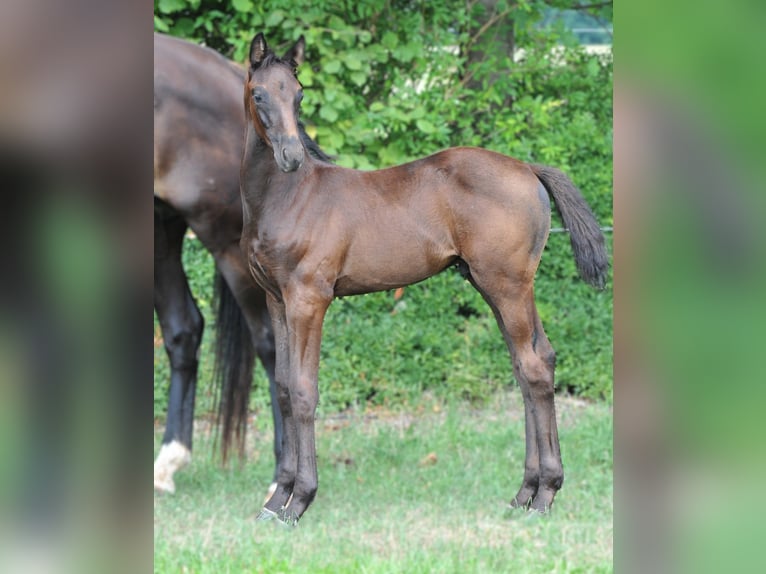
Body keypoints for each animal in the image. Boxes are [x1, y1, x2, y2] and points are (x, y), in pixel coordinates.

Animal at [153, 33, 330, 498]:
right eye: (261, 96)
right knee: (183, 328)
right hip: (163, 226)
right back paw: (167, 460)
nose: (291, 156)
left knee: (267, 344)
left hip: (227, 248)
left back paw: (280, 475)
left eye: (300, 96)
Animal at [242, 32, 612, 528]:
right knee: (535, 363)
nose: (291, 157)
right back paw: (525, 493)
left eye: (299, 95)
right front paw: (275, 499)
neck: (287, 196)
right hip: (498, 286)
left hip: (507, 286)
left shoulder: (309, 299)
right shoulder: (277, 301)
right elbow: (283, 389)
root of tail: (528, 168)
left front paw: (299, 501)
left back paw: (545, 495)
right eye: (260, 94)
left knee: (533, 369)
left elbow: (303, 391)